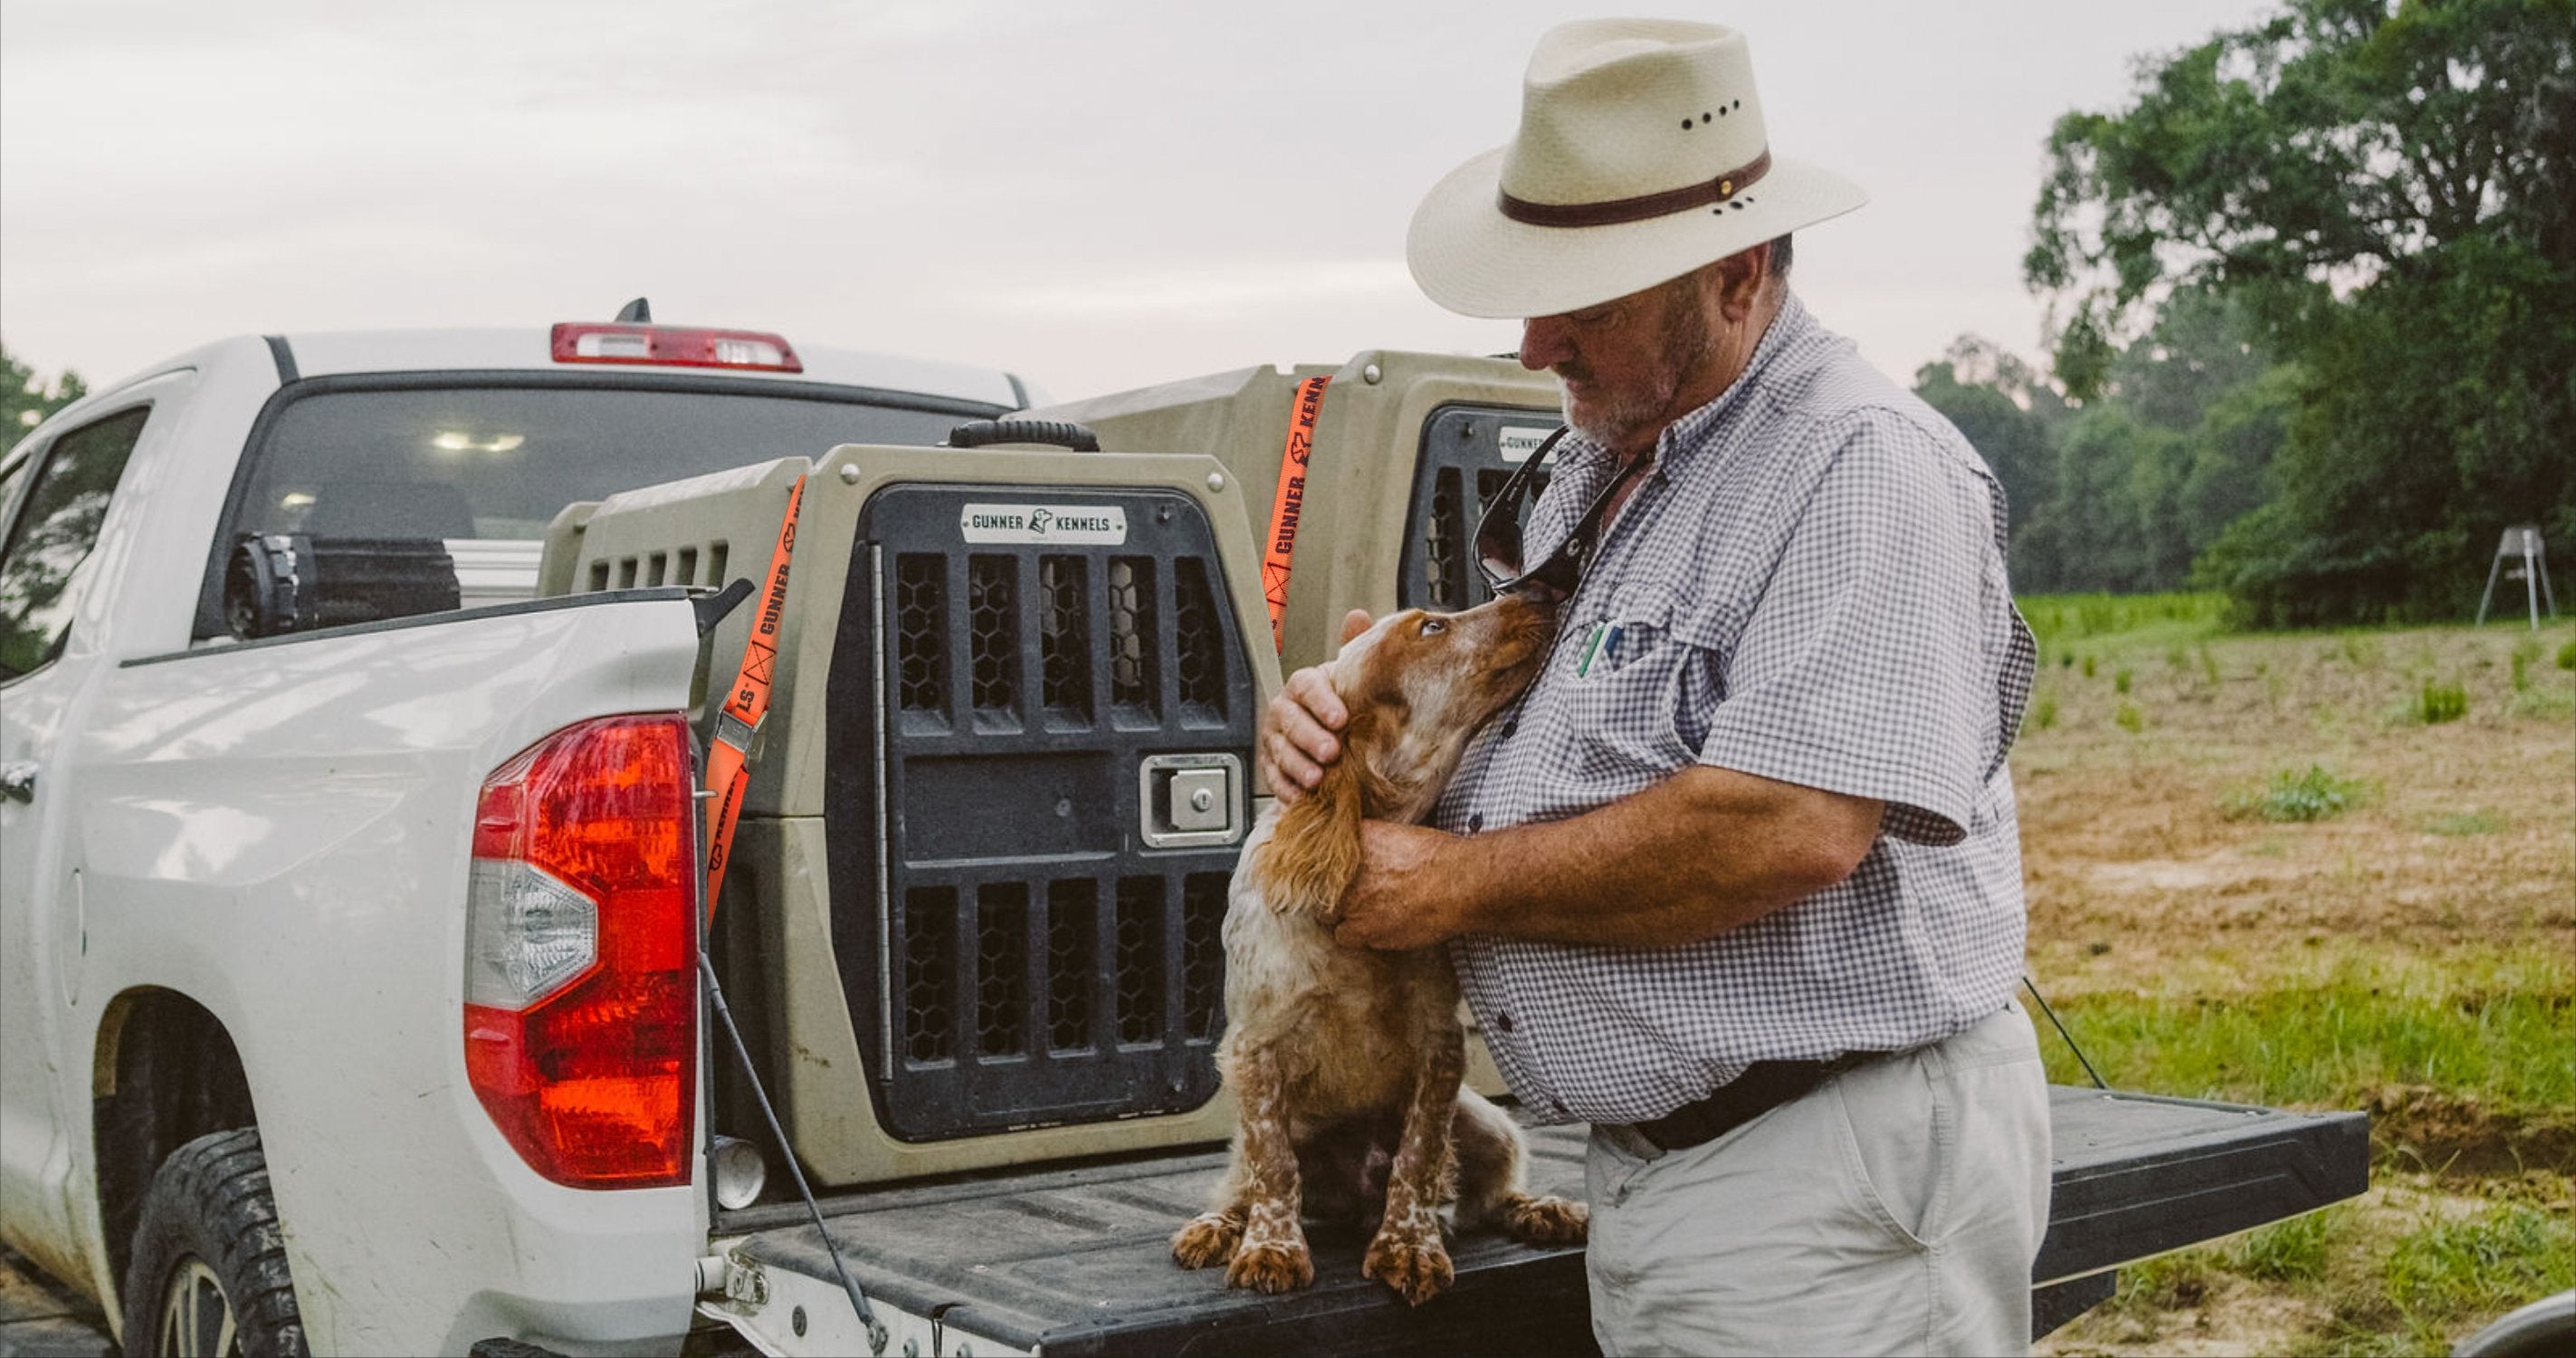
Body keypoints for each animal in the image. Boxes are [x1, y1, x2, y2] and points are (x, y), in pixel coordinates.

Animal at [1174, 595, 1576, 1308]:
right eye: (1432, 628)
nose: (1540, 593)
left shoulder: (1440, 1047)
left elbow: (1418, 1158)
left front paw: (1409, 1245)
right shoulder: (1254, 1048)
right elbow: (1275, 1167)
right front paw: (1272, 1248)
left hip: (1487, 1123)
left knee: (1487, 1189)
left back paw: (1538, 1209)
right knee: (1242, 1183)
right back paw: (1218, 1227)